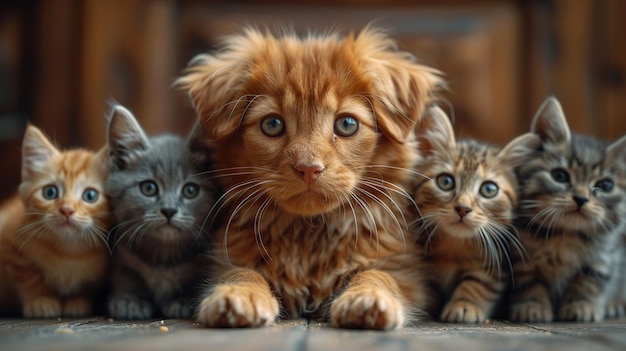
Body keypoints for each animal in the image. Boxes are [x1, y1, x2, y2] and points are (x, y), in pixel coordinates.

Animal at [0, 124, 109, 320]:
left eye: (90, 195)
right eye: (50, 192)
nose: (66, 210)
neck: (69, 251)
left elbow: (86, 286)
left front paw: (77, 301)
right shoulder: (9, 241)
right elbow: (29, 277)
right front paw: (40, 300)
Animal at [105, 105, 217, 322]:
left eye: (190, 190)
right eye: (149, 188)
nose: (169, 210)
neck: (163, 259)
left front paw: (184, 300)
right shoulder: (123, 257)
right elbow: (126, 276)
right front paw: (130, 300)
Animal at [173, 27, 442, 330]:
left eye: (347, 124)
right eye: (272, 124)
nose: (309, 168)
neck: (309, 233)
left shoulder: (403, 269)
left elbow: (378, 275)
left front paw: (369, 296)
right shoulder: (229, 258)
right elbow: (242, 272)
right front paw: (239, 293)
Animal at [412, 106, 532, 324]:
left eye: (489, 189)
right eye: (445, 182)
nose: (463, 208)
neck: (454, 248)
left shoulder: (496, 258)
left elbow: (479, 282)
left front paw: (465, 304)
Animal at [508, 97, 624, 324]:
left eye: (605, 185)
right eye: (559, 176)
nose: (581, 198)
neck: (566, 237)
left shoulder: (604, 256)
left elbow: (590, 280)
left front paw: (581, 305)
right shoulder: (521, 257)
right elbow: (530, 282)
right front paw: (532, 306)